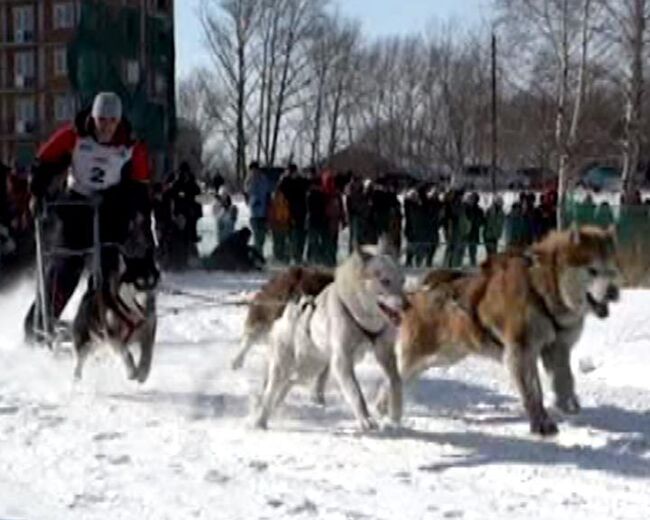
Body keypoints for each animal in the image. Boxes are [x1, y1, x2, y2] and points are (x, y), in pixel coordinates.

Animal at [249, 248, 404, 430]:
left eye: (402, 281)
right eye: (385, 281)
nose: (407, 305)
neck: (359, 315)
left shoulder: (385, 354)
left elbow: (396, 380)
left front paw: (395, 415)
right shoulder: (342, 360)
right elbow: (355, 393)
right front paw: (366, 419)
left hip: (308, 368)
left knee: (289, 382)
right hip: (285, 365)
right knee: (271, 392)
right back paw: (260, 421)